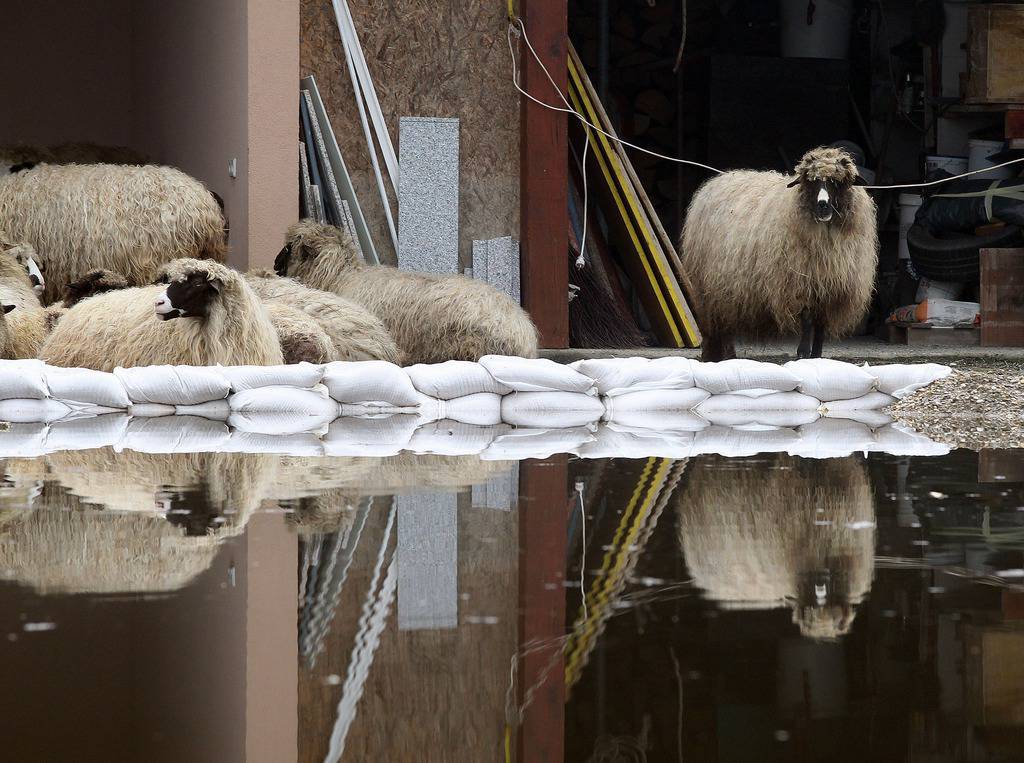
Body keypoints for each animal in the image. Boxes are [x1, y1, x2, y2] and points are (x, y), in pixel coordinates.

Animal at [679, 150, 880, 364]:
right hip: (708, 288)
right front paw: (803, 354)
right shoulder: (802, 284)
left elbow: (820, 326)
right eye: (810, 181)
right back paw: (715, 357)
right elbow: (807, 320)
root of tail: (717, 181)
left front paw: (816, 357)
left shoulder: (829, 290)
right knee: (717, 327)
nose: (823, 206)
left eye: (838, 181)